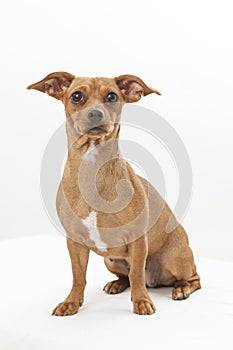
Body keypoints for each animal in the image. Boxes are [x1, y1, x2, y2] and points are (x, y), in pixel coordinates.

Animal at [28, 72, 201, 316]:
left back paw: (181, 289)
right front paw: (71, 302)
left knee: (192, 278)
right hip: (111, 261)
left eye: (112, 96)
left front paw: (141, 302)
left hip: (175, 259)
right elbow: (78, 276)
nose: (95, 113)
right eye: (77, 96)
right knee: (127, 277)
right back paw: (116, 284)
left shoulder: (137, 240)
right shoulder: (74, 242)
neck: (92, 170)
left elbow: (136, 274)